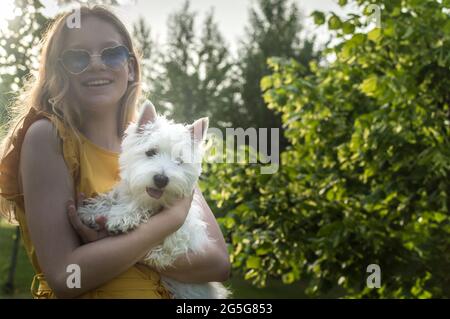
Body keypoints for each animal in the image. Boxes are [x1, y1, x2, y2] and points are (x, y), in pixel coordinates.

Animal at [77, 100, 230, 300]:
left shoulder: (182, 234)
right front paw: (91, 211)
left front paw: (122, 218)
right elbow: (114, 197)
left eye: (179, 161)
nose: (161, 179)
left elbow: (145, 212)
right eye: (150, 152)